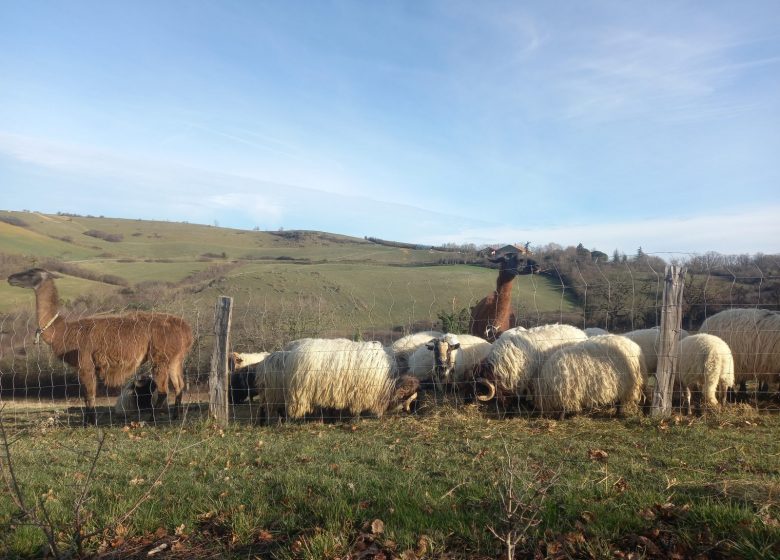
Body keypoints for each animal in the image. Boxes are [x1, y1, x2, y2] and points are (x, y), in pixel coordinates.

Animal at [253, 336, 418, 420]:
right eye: (406, 397)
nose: (408, 412)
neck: (389, 380)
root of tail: (286, 353)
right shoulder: (360, 393)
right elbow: (356, 410)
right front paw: (355, 418)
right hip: (294, 391)